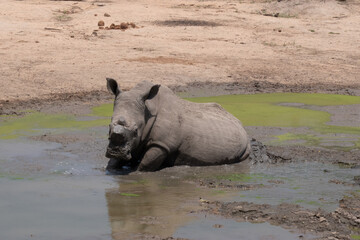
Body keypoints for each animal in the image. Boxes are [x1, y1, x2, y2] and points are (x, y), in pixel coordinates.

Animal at [105, 79, 250, 172]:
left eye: (136, 130)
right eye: (109, 127)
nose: (115, 152)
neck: (147, 110)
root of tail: (239, 123)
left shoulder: (163, 144)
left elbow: (144, 165)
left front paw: (135, 173)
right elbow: (112, 164)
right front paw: (112, 166)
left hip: (245, 143)